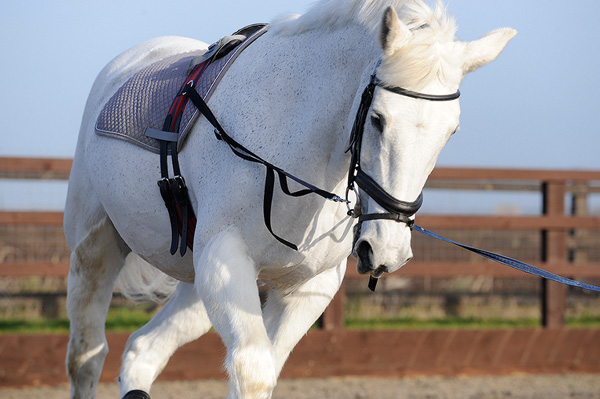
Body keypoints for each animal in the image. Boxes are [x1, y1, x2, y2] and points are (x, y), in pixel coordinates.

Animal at [64, 1, 516, 398]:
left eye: (451, 131)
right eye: (377, 119)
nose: (386, 250)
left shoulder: (306, 287)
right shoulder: (225, 260)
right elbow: (253, 373)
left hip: (195, 281)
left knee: (142, 350)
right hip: (97, 249)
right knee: (87, 357)